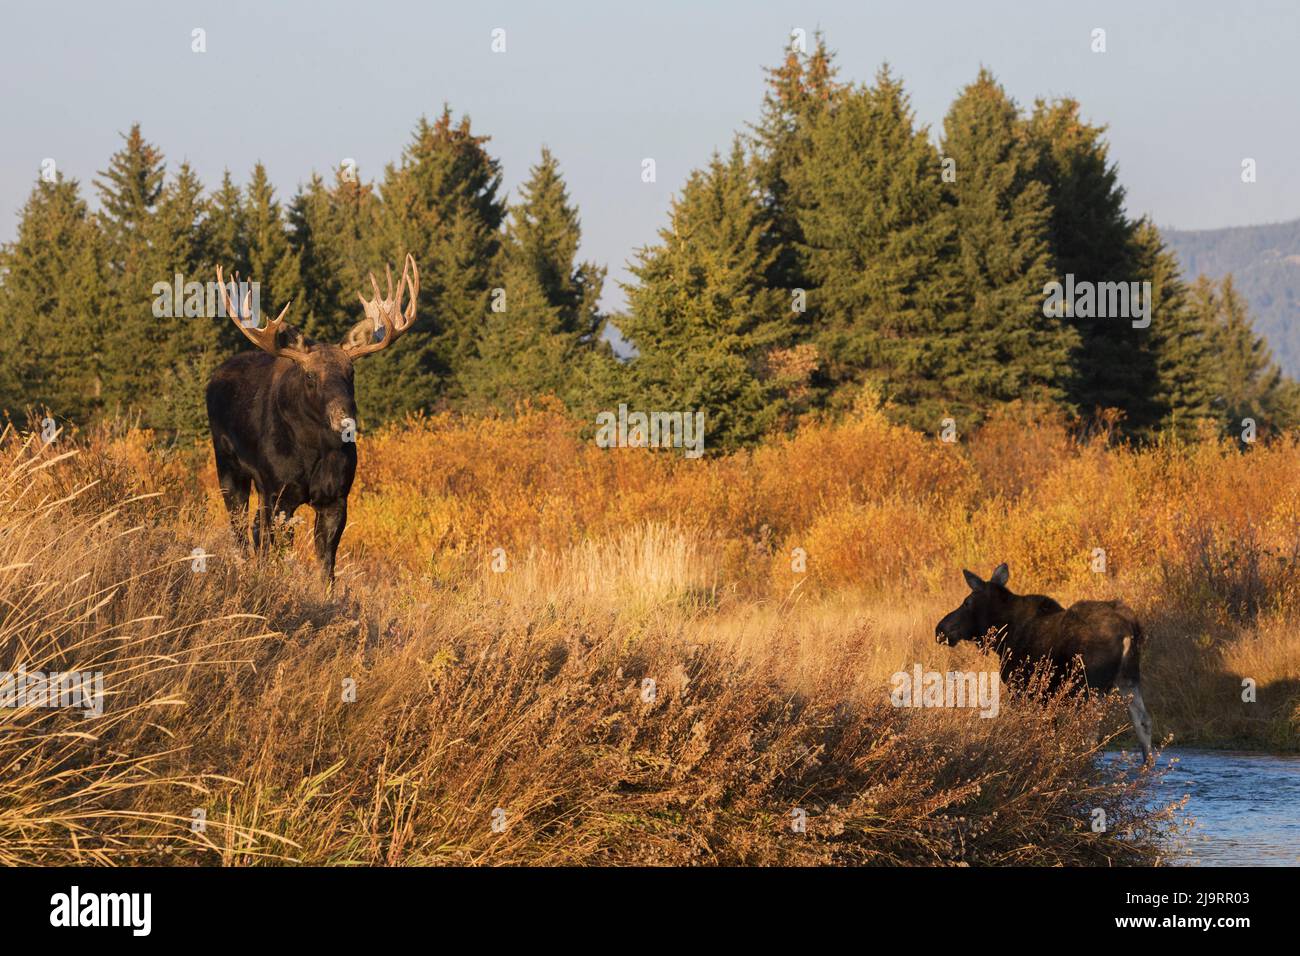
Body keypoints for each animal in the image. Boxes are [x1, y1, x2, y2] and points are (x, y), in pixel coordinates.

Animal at [202, 254, 418, 582]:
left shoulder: (336, 497)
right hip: (228, 464)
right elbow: (273, 551)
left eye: (351, 372)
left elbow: (327, 566)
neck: (313, 451)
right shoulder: (277, 491)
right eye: (310, 375)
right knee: (240, 528)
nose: (344, 419)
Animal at [935, 564, 1159, 764]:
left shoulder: (1023, 690)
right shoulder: (1045, 696)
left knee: (1091, 731)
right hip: (1129, 678)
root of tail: (1129, 628)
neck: (1002, 635)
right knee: (1144, 721)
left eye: (967, 602)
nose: (940, 629)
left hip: (1090, 687)